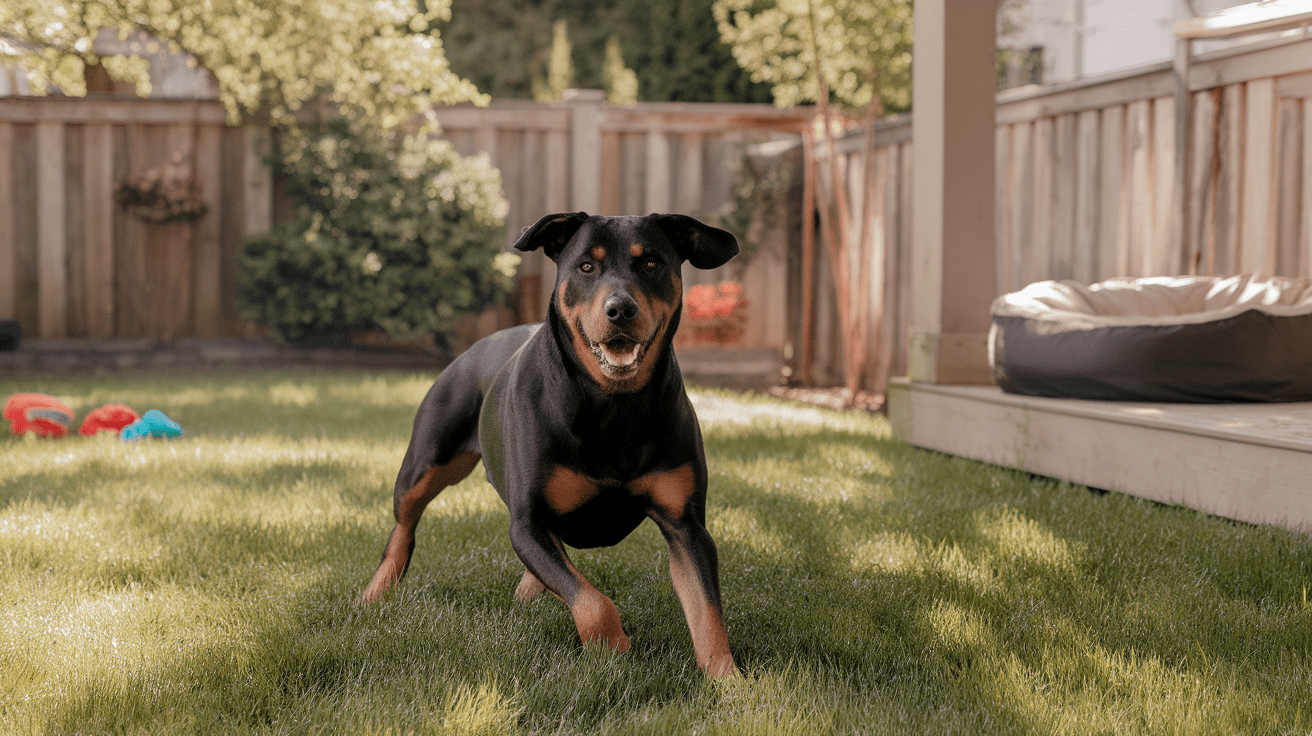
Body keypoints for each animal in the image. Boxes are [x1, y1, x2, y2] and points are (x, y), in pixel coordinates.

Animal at [362, 211, 739, 676]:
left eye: (652, 263)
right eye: (586, 266)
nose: (621, 309)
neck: (613, 405)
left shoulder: (686, 526)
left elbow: (706, 612)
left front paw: (729, 681)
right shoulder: (527, 523)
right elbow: (592, 602)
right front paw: (613, 648)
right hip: (426, 459)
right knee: (403, 526)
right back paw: (375, 592)